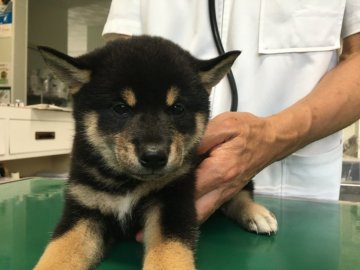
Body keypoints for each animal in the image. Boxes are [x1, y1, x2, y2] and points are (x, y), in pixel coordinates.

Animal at [35, 35, 278, 270]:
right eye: (120, 108)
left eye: (177, 108)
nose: (154, 157)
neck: (127, 183)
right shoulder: (84, 207)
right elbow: (58, 254)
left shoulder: (172, 202)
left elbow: (169, 256)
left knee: (240, 193)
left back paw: (257, 214)